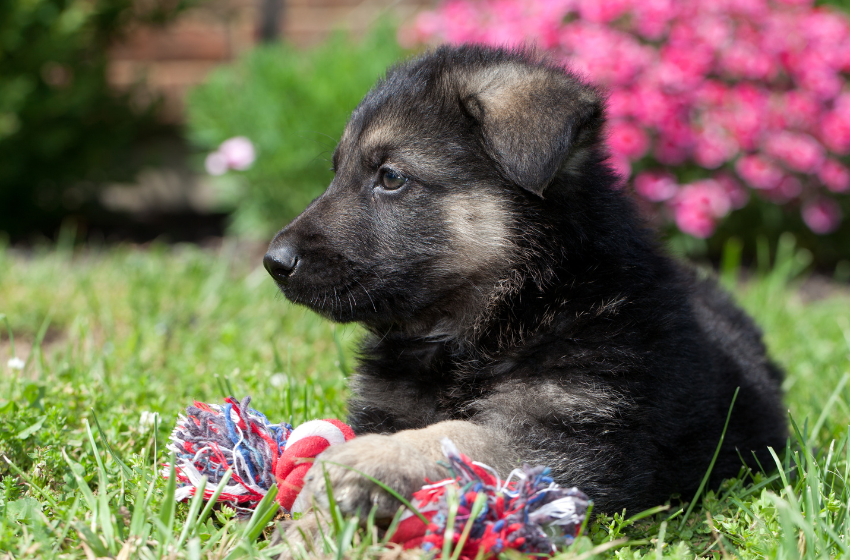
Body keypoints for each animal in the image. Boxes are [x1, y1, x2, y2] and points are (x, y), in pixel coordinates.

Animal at [262, 44, 784, 548]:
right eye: (337, 171)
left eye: (390, 177)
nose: (274, 262)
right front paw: (312, 527)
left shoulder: (568, 443)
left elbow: (455, 437)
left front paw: (362, 463)